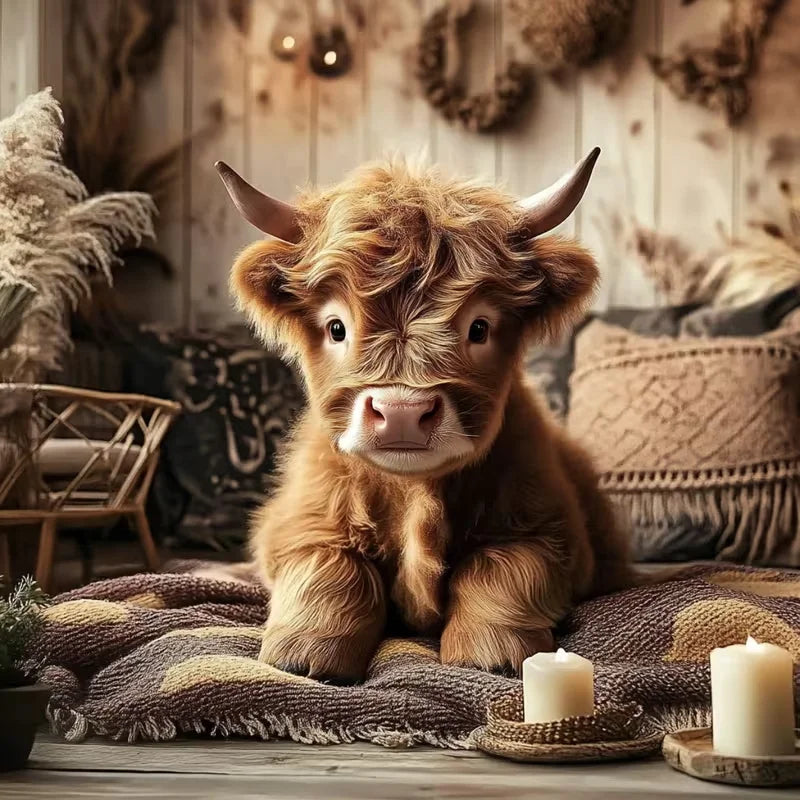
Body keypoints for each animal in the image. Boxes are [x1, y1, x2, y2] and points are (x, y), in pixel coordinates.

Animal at [216, 149, 631, 683]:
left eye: (480, 327)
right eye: (336, 327)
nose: (401, 412)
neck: (413, 495)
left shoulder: (552, 533)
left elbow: (501, 566)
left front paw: (492, 649)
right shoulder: (297, 525)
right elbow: (332, 568)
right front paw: (305, 653)